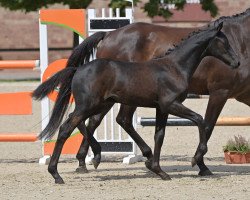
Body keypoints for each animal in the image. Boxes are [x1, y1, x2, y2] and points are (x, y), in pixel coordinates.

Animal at [32, 22, 239, 184]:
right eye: (224, 42)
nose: (236, 62)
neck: (174, 67)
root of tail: (78, 69)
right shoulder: (171, 104)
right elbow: (200, 120)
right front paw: (196, 159)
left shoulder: (162, 108)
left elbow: (159, 135)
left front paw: (158, 169)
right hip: (89, 105)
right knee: (67, 128)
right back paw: (57, 174)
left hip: (98, 104)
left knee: (81, 122)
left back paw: (95, 156)